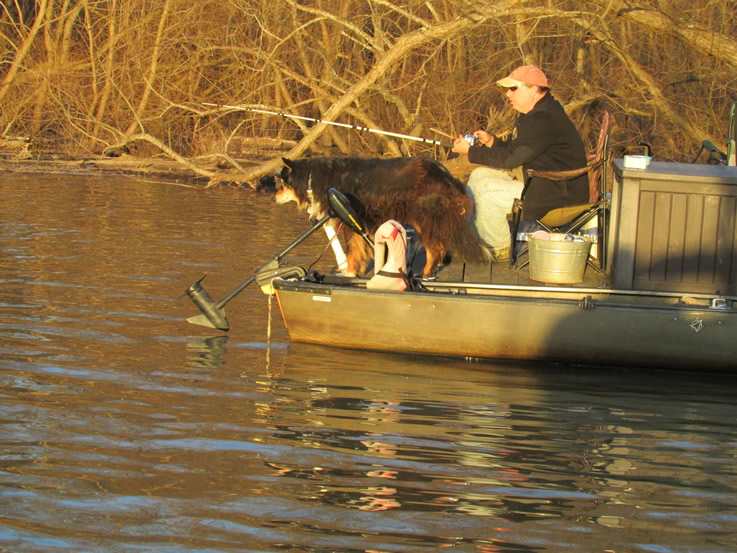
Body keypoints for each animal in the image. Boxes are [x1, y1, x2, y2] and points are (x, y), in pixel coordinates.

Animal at [270, 155, 488, 276]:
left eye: (282, 183)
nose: (272, 198)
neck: (311, 178)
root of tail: (447, 175)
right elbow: (356, 247)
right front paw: (354, 269)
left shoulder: (350, 217)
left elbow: (352, 250)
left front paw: (349, 271)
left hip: (423, 216)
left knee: (433, 248)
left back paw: (424, 273)